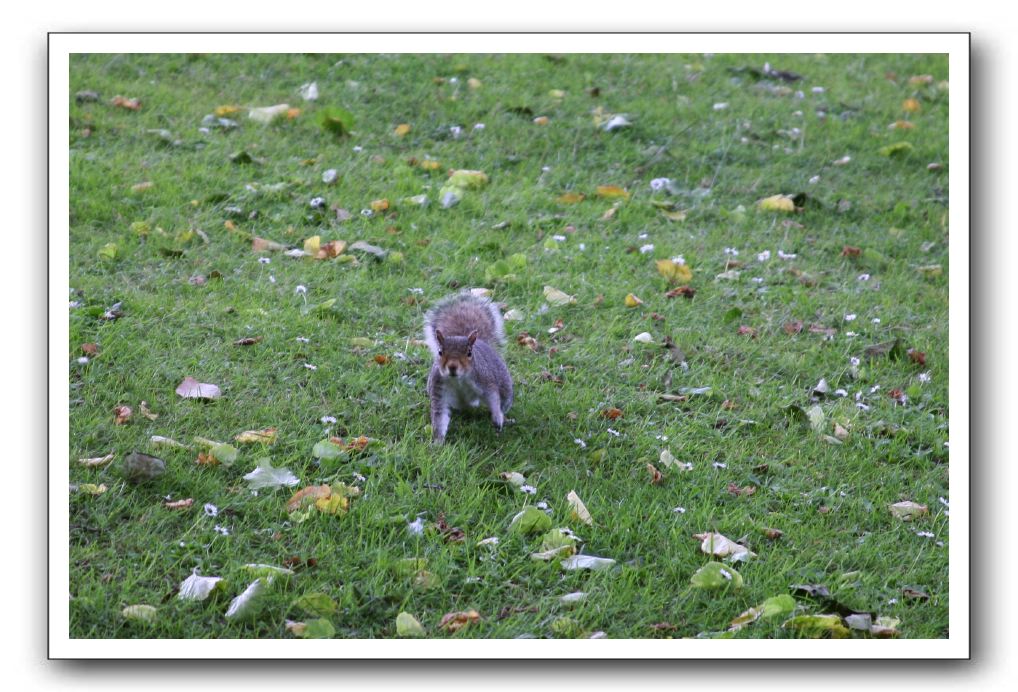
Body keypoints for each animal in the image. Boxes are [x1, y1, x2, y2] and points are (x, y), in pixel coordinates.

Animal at [423, 291, 513, 443]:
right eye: (440, 352)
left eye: (469, 353)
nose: (452, 366)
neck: (458, 379)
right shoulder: (438, 387)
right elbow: (440, 416)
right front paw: (438, 442)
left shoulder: (485, 380)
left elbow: (494, 397)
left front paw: (497, 418)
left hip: (505, 389)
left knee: (502, 402)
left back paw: (504, 418)